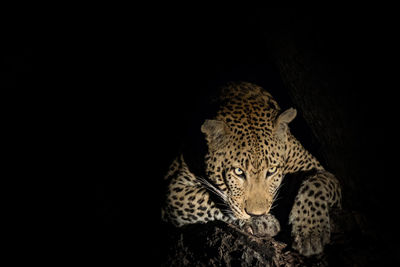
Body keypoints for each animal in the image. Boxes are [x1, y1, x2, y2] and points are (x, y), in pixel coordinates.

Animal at [161, 82, 342, 258]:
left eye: (272, 170)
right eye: (238, 172)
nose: (256, 214)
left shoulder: (314, 167)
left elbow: (317, 183)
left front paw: (311, 233)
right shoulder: (173, 190)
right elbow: (210, 199)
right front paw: (261, 222)